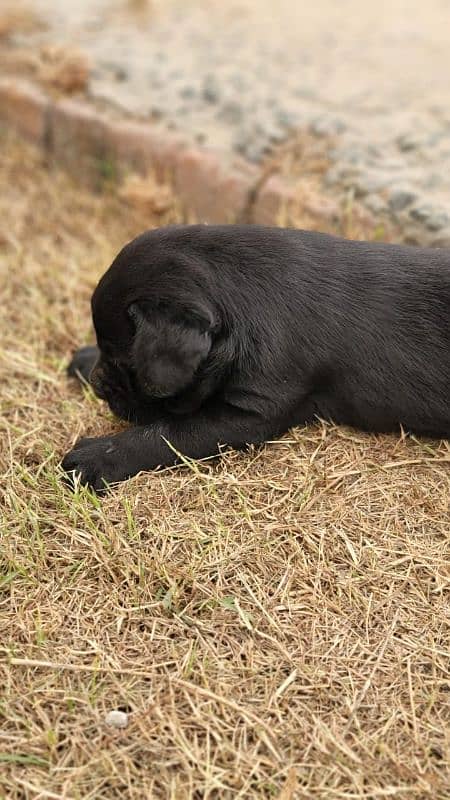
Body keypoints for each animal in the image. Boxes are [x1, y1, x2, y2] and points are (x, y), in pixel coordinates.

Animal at [62, 222, 450, 490]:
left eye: (129, 365)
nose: (99, 385)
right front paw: (85, 360)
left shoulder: (250, 414)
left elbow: (167, 433)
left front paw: (93, 458)